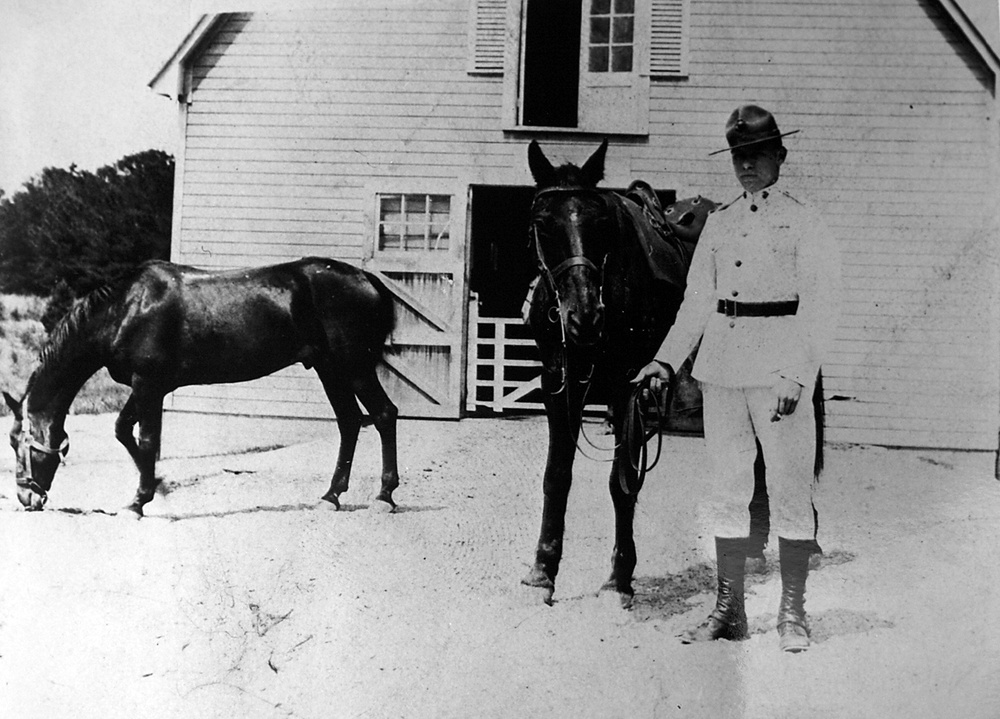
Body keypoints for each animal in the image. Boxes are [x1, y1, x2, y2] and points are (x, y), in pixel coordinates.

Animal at [4, 258, 402, 516]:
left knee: (384, 414)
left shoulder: (148, 385)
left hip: (354, 366)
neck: (126, 310)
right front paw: (157, 485)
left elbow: (146, 439)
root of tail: (366, 278)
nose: (26, 498)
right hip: (329, 368)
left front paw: (140, 500)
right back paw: (331, 496)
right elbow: (123, 431)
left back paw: (384, 496)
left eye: (18, 443)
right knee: (350, 422)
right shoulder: (145, 386)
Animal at [524, 141, 720, 608]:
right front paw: (543, 569)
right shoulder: (557, 384)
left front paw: (619, 577)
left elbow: (622, 482)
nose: (584, 317)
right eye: (542, 224)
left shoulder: (627, 386)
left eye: (599, 222)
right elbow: (557, 476)